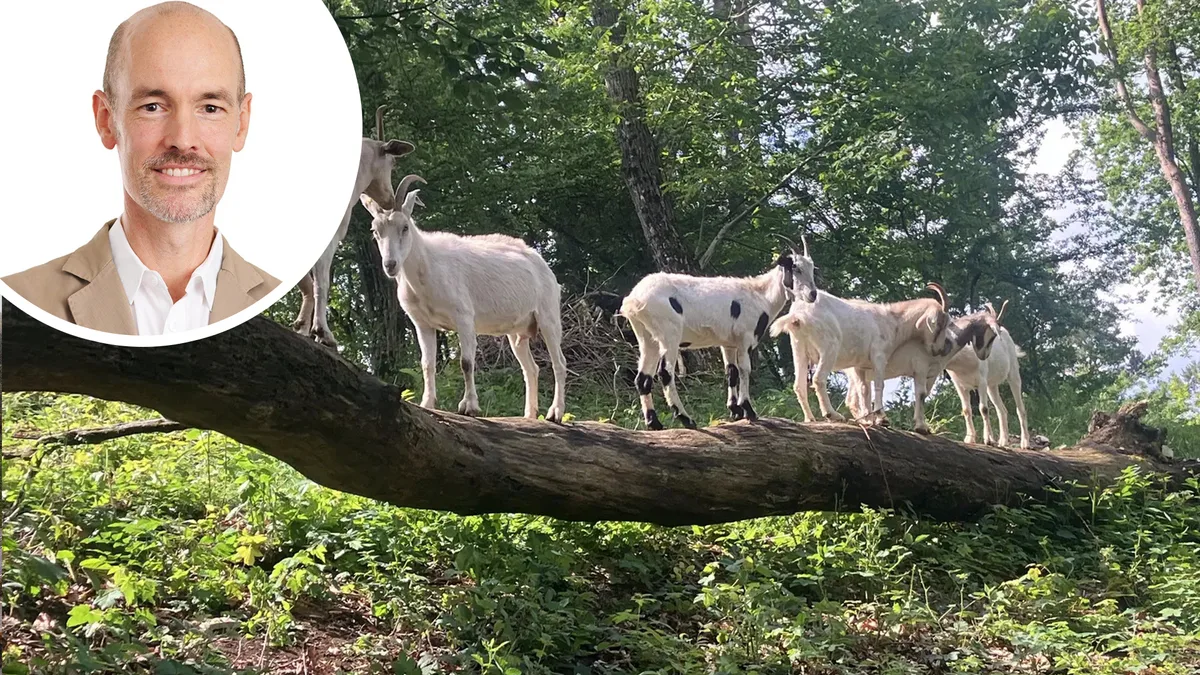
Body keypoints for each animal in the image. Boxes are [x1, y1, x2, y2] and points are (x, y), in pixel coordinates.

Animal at [360, 175, 568, 422]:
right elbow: (427, 364)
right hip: (517, 332)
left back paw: (555, 413)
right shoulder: (422, 323)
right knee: (531, 368)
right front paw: (427, 403)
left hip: (548, 316)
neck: (427, 265)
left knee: (559, 363)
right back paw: (528, 416)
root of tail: (543, 265)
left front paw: (469, 407)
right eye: (375, 230)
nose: (390, 265)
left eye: (405, 227)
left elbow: (466, 363)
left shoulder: (464, 317)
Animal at [618, 241, 818, 430]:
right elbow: (745, 369)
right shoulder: (745, 338)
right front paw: (749, 411)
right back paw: (686, 419)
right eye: (795, 268)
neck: (760, 295)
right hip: (669, 333)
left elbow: (732, 372)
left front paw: (735, 411)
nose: (813, 294)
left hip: (647, 337)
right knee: (665, 373)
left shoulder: (728, 343)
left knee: (643, 378)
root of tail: (634, 300)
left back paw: (655, 424)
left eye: (812, 269)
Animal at [769, 283, 951, 425]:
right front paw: (882, 417)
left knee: (799, 385)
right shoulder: (879, 356)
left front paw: (869, 420)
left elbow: (864, 391)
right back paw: (832, 415)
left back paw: (810, 418)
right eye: (940, 324)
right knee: (818, 379)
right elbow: (879, 385)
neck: (891, 321)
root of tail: (798, 315)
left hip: (799, 348)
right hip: (829, 347)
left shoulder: (860, 366)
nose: (940, 350)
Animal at [843, 304, 1006, 433]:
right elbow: (920, 394)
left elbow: (924, 396)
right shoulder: (920, 368)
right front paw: (921, 427)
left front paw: (922, 425)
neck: (947, 340)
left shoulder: (932, 373)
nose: (984, 355)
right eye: (992, 334)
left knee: (851, 399)